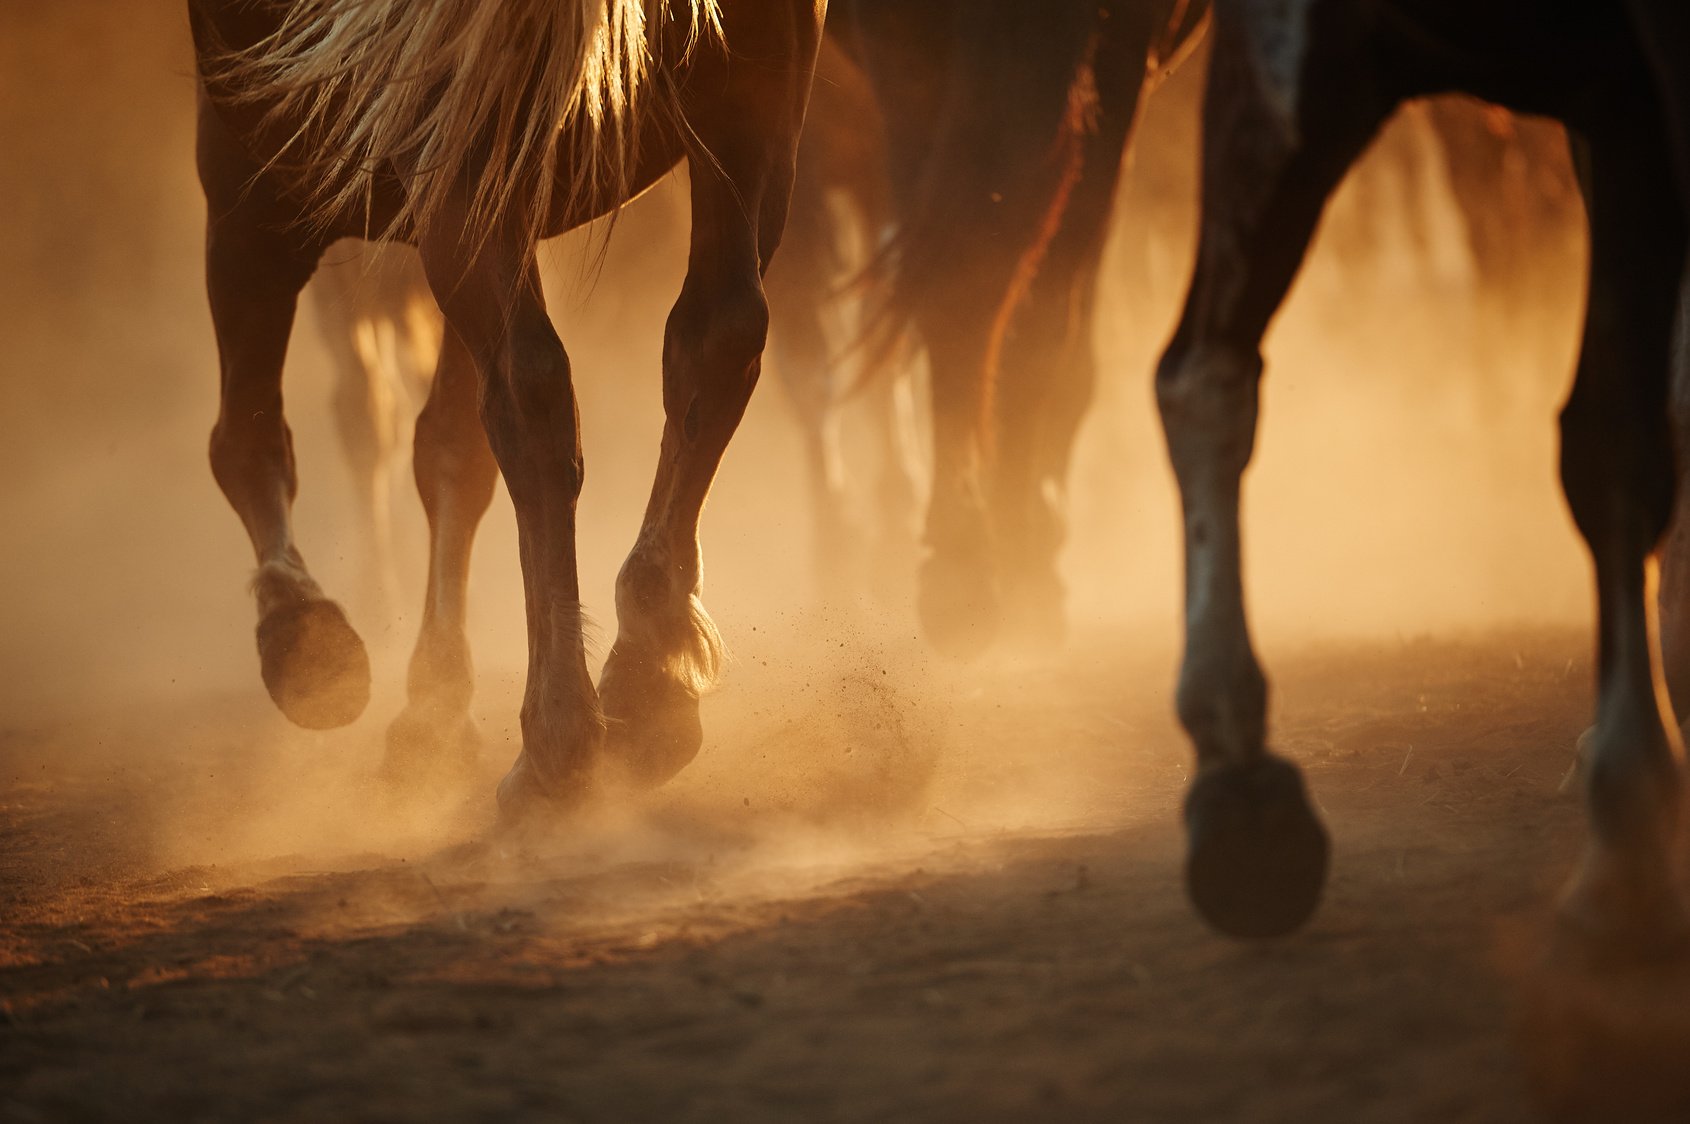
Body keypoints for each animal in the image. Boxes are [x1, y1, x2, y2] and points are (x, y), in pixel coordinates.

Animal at [190, 0, 825, 815]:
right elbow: (451, 452)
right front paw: (432, 708)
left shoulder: (249, 171)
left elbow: (246, 435)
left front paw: (303, 638)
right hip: (755, 76)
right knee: (718, 333)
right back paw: (647, 679)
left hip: (458, 137)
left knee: (531, 390)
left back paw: (559, 740)